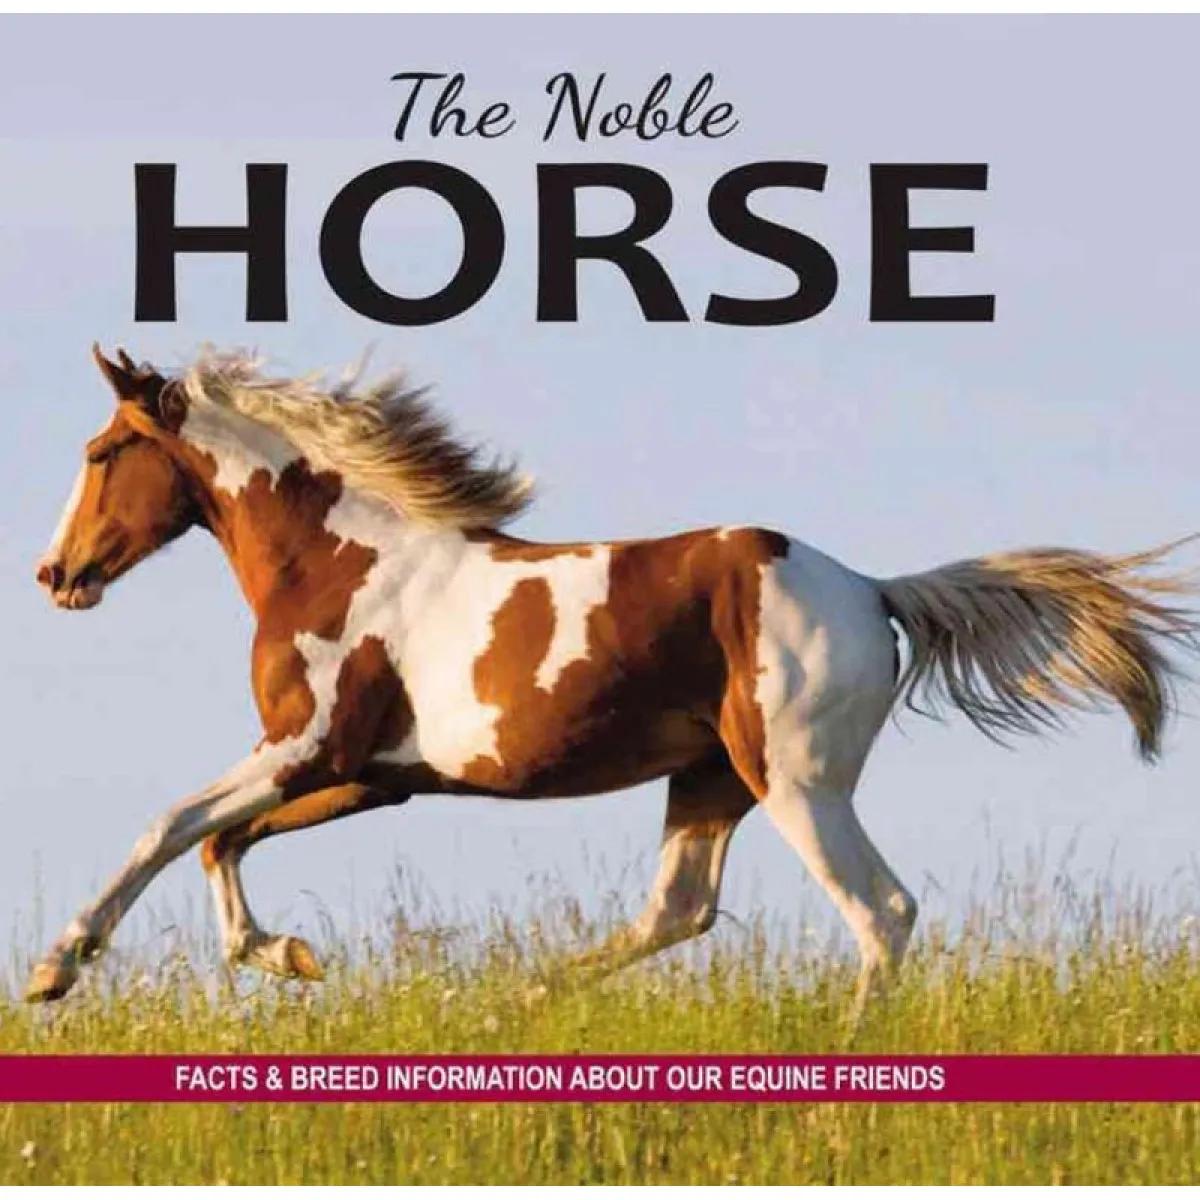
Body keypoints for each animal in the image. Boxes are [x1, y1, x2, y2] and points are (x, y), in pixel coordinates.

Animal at [28, 344, 1197, 1006]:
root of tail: (873, 591)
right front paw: (290, 958)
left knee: (883, 913)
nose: (55, 574)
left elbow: (170, 825)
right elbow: (220, 840)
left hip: (800, 783)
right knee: (679, 911)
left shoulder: (305, 746)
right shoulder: (369, 775)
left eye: (98, 453)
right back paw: (520, 999)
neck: (340, 563)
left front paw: (58, 966)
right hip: (711, 780)